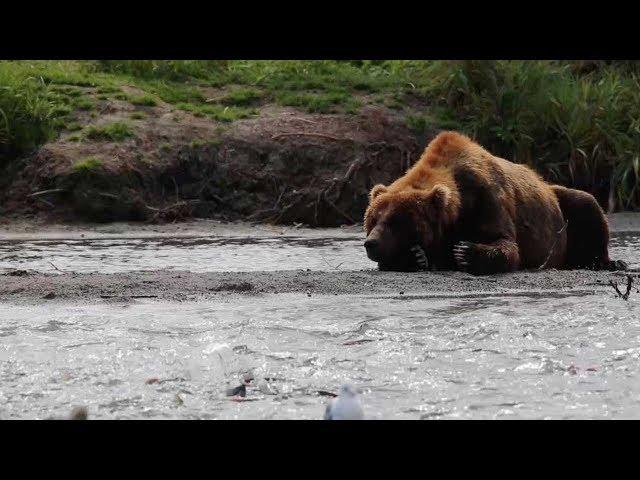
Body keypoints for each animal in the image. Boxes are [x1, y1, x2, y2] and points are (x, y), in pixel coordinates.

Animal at [362, 130, 628, 274]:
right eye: (373, 219)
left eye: (397, 221)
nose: (371, 243)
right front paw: (415, 256)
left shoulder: (486, 197)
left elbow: (505, 244)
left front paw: (466, 251)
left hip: (562, 211)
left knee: (587, 204)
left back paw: (611, 262)